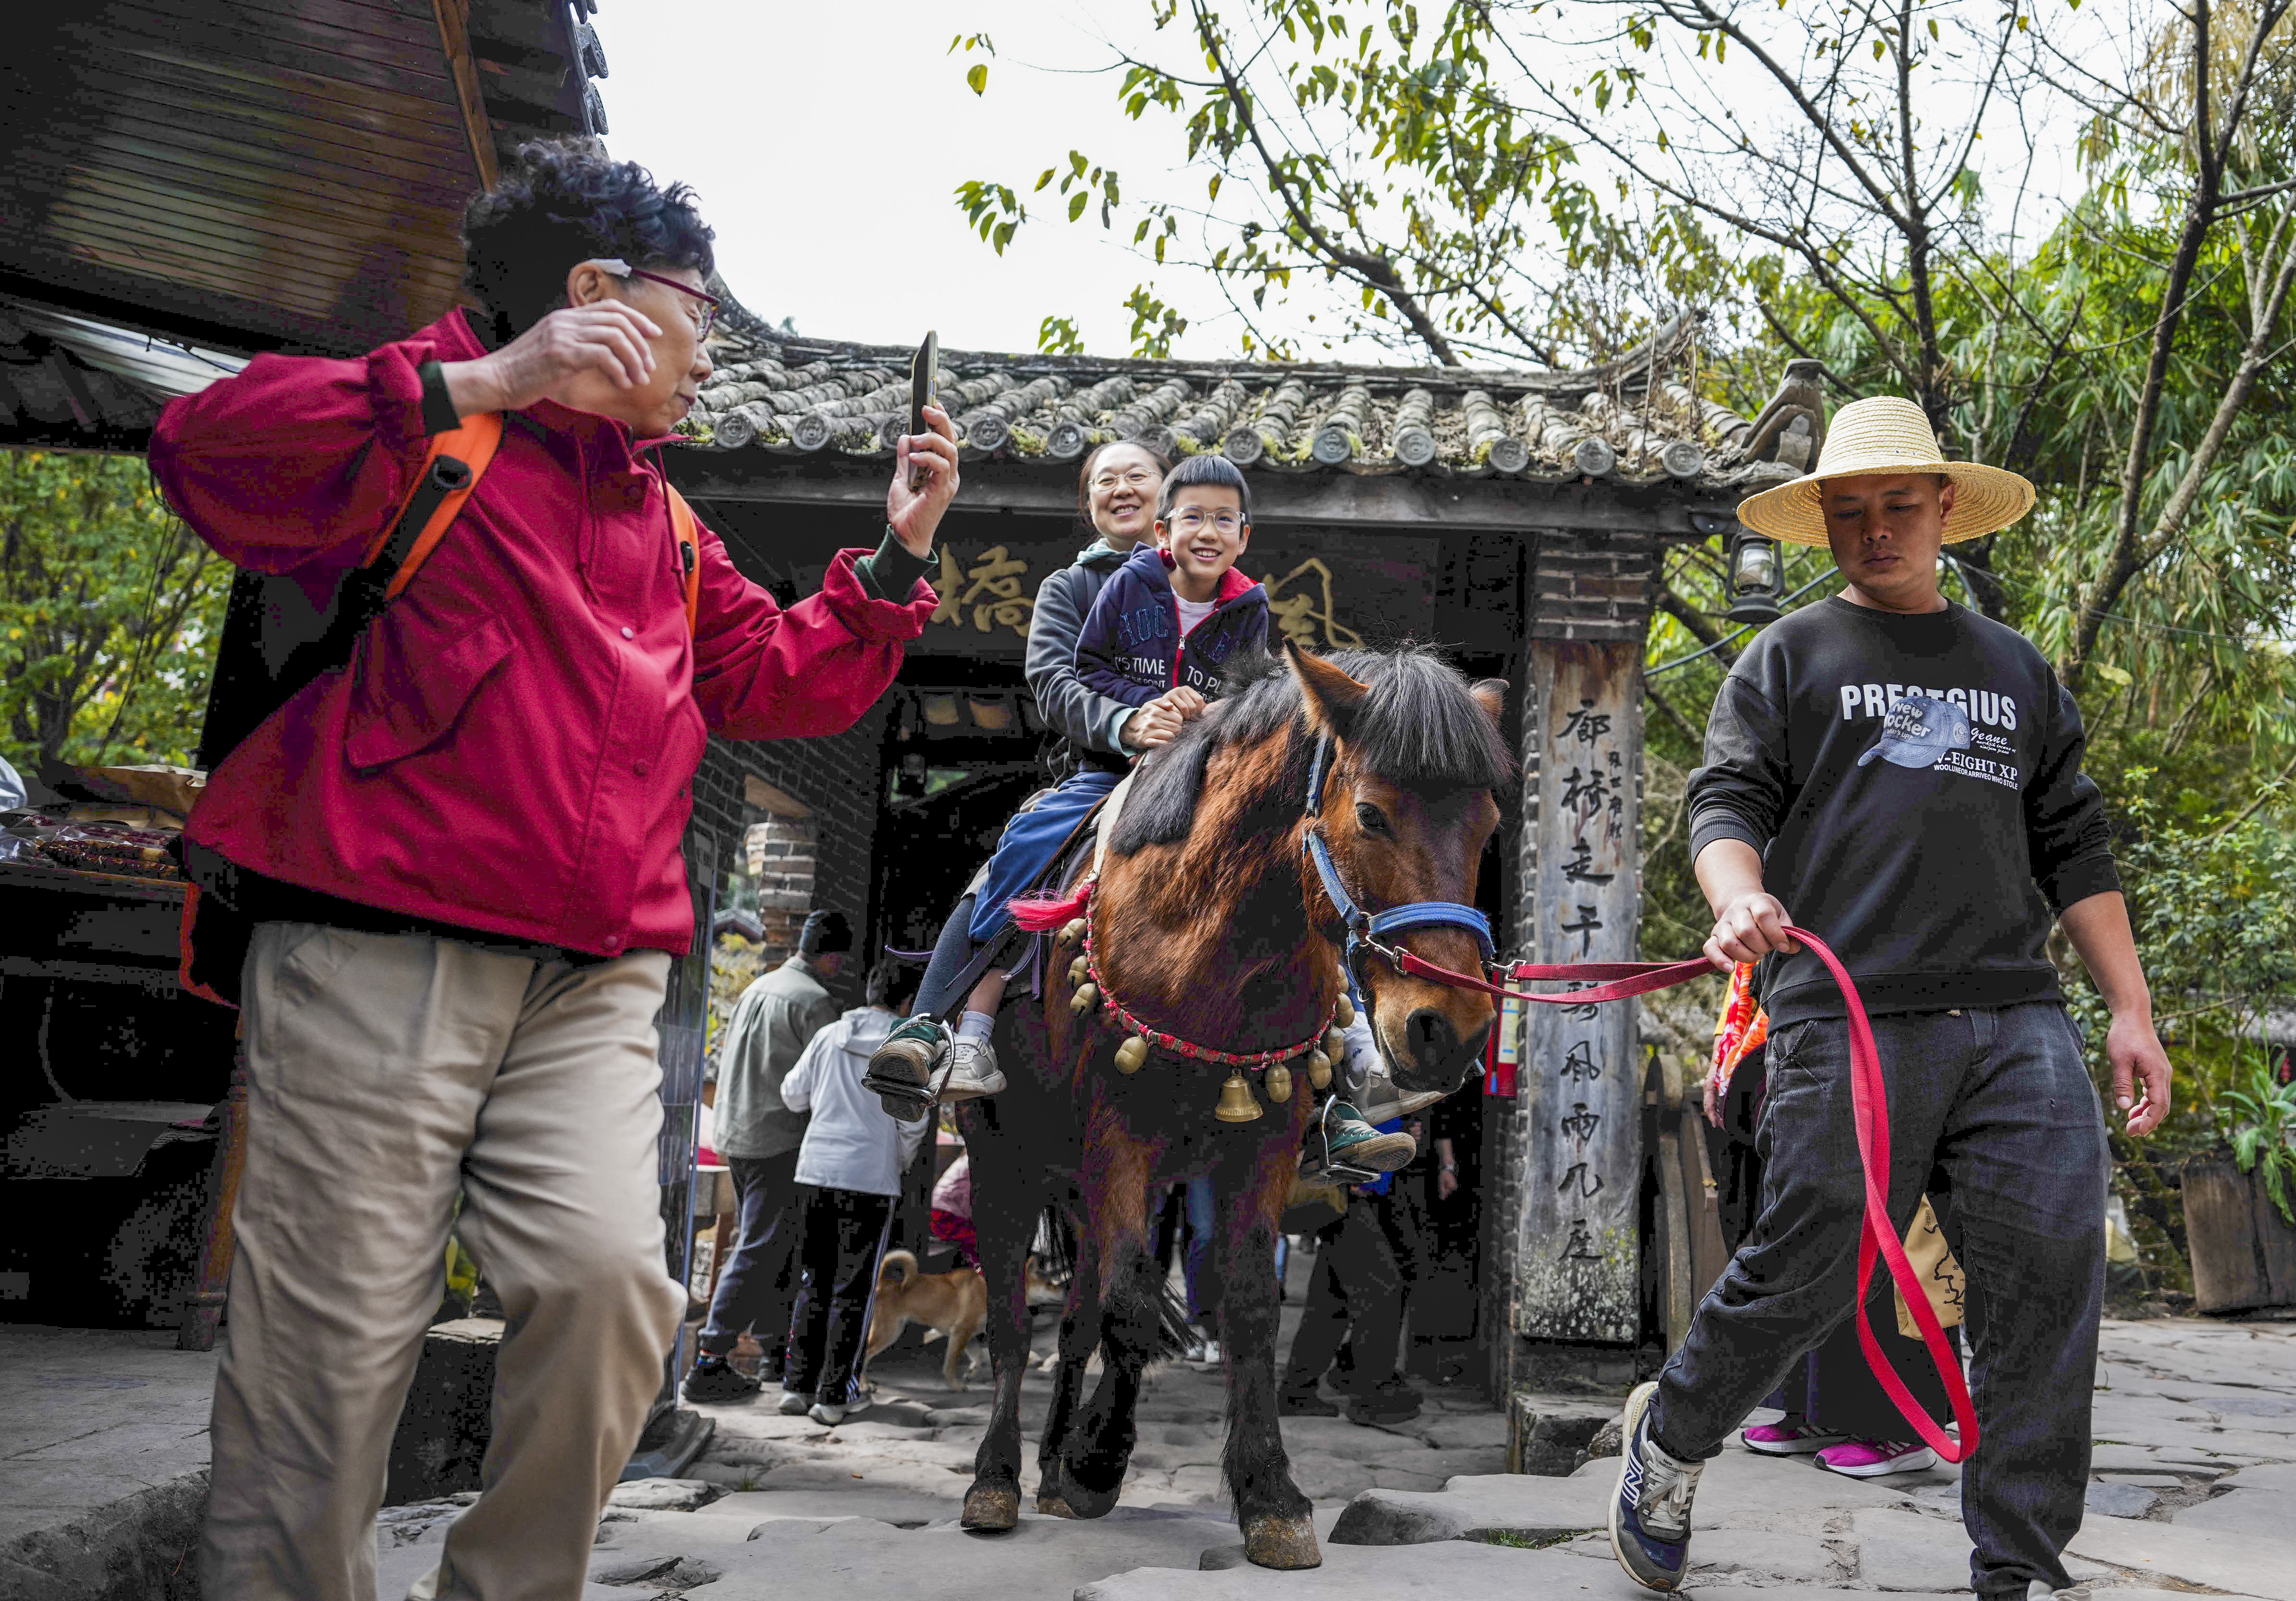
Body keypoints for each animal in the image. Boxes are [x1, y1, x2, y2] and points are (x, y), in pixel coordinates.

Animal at [953, 642, 1509, 1569]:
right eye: (1370, 814)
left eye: (1488, 824)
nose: (1447, 1029)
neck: (1210, 937)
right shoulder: (1118, 1128)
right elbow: (1131, 1304)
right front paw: (1099, 1461)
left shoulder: (1267, 1137)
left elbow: (1239, 1301)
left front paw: (1268, 1495)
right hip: (1004, 1154)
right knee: (1006, 1318)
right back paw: (997, 1478)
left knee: (1074, 1317)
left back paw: (1051, 1460)